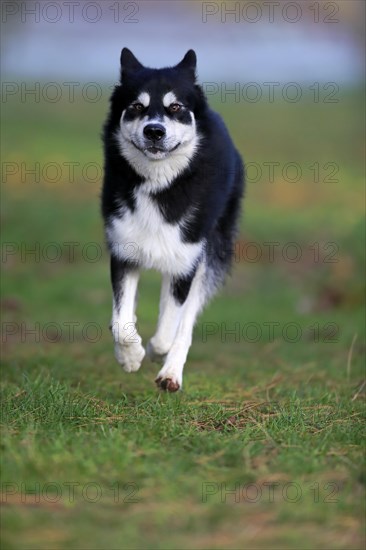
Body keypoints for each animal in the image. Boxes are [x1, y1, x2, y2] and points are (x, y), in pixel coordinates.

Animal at [101, 47, 244, 392]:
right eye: (136, 107)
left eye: (175, 107)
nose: (154, 130)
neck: (160, 184)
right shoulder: (124, 252)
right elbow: (120, 320)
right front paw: (129, 356)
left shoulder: (186, 262)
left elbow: (170, 327)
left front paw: (154, 352)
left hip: (210, 255)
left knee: (185, 322)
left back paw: (170, 372)